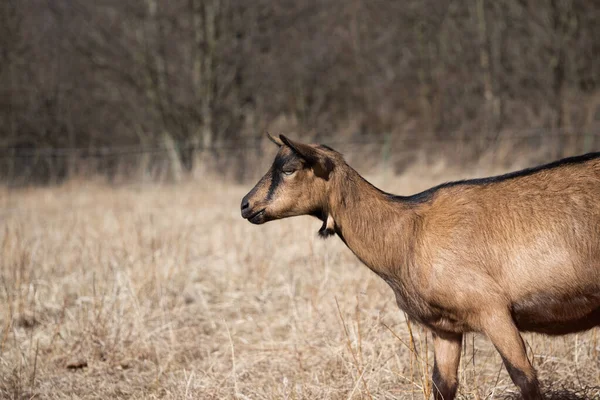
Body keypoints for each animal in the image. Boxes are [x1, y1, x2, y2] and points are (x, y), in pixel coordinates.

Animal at [240, 133, 600, 398]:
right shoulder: (446, 328)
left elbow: (525, 379)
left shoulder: (493, 311)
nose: (245, 205)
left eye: (289, 169)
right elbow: (443, 385)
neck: (407, 232)